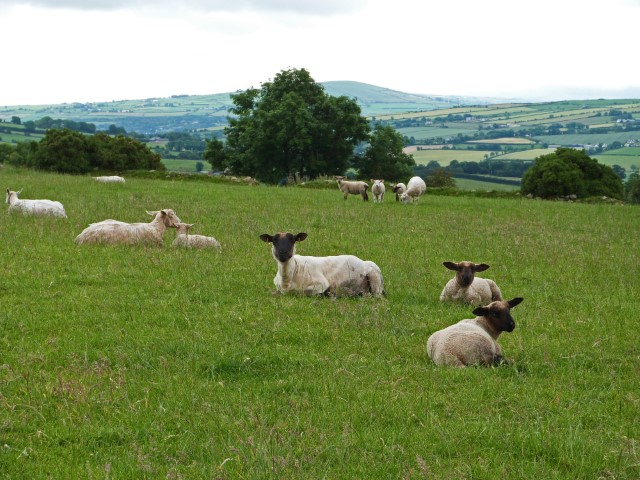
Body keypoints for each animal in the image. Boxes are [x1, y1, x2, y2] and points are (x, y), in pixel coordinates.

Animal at [256, 232, 384, 296]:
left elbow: (305, 293)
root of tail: (363, 261)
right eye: (274, 240)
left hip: (375, 278)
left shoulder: (321, 284)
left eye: (293, 239)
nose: (283, 253)